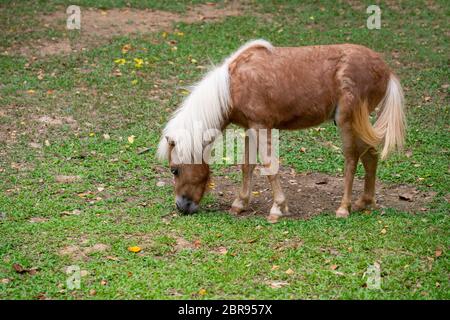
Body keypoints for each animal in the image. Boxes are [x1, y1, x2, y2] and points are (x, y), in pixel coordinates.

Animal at [156, 38, 406, 221]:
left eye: (174, 170)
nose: (181, 206)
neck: (231, 85)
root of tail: (386, 70)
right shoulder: (249, 129)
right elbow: (247, 166)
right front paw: (240, 203)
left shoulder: (261, 127)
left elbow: (269, 165)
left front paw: (278, 208)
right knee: (371, 154)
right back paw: (365, 201)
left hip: (347, 122)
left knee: (352, 159)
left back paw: (344, 208)